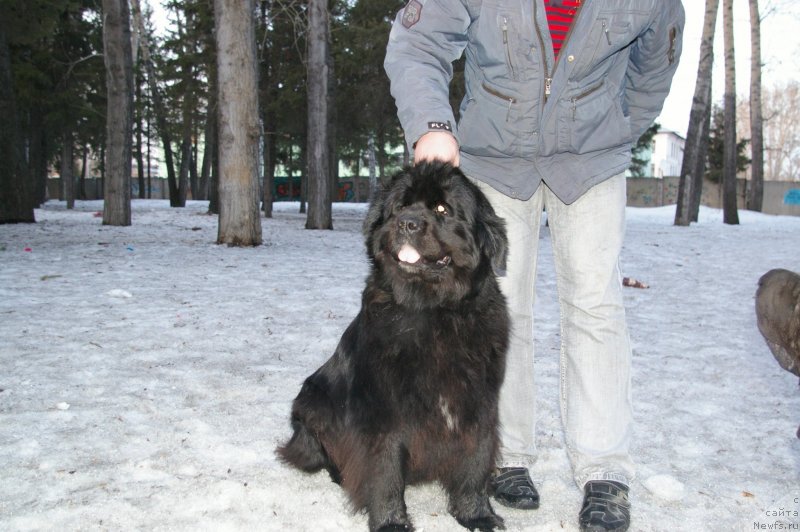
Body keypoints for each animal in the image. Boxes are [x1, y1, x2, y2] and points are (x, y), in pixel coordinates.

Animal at [278, 162, 510, 532]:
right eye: (400, 207)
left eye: (442, 209)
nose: (407, 223)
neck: (435, 313)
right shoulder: (384, 412)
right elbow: (385, 469)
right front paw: (391, 522)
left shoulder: (478, 404)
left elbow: (475, 461)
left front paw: (477, 514)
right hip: (313, 402)